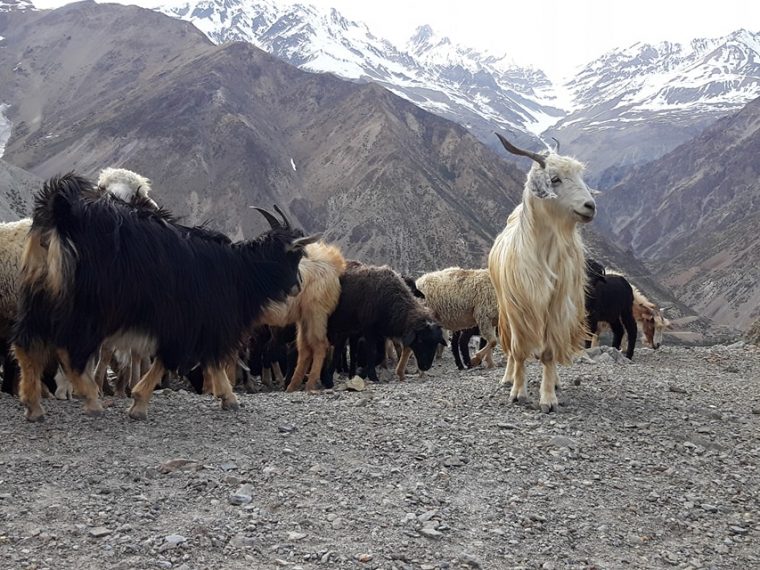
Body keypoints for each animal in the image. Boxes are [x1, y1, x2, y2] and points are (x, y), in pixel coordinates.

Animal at [11, 172, 314, 418]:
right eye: (295, 256)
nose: (297, 287)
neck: (236, 270)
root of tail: (60, 214)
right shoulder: (189, 322)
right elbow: (171, 358)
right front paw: (138, 403)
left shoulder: (201, 323)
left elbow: (209, 360)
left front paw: (228, 397)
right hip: (87, 308)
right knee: (68, 350)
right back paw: (91, 401)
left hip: (40, 296)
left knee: (26, 344)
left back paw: (34, 406)